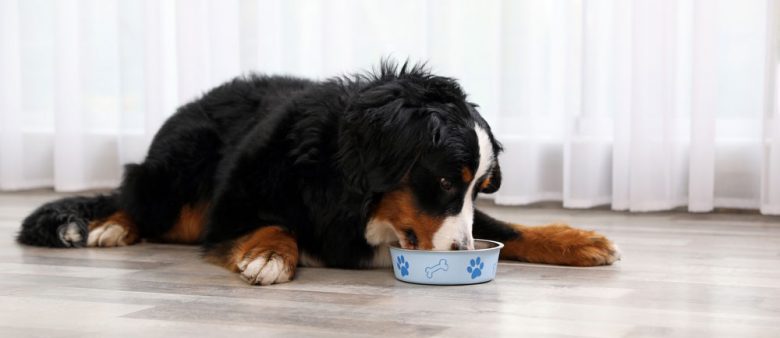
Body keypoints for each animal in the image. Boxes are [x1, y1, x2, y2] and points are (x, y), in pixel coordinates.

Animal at [15, 61, 620, 286]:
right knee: (133, 197)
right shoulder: (232, 207)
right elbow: (273, 223)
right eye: (446, 180)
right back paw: (110, 227)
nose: (461, 255)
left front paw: (576, 239)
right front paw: (269, 255)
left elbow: (510, 229)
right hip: (177, 174)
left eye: (479, 186)